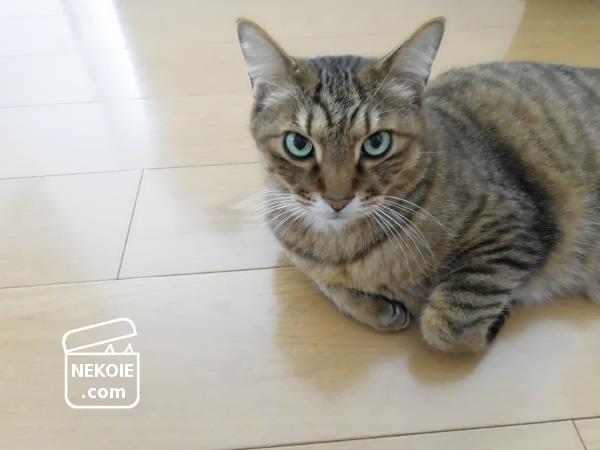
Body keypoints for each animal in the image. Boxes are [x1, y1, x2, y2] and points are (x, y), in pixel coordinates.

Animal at [236, 17, 600, 352]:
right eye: (298, 144)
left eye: (377, 143)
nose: (337, 200)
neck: (345, 249)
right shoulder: (300, 254)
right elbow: (329, 283)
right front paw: (377, 307)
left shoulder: (513, 227)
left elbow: (448, 324)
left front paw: (493, 319)